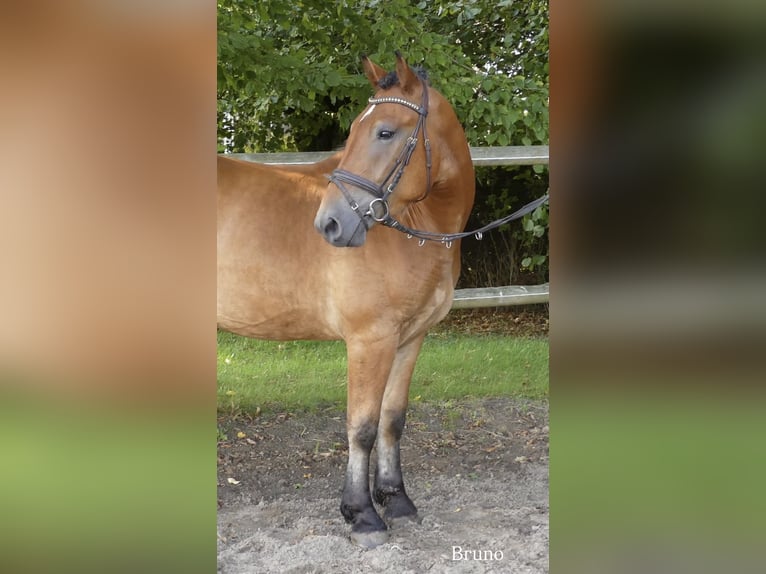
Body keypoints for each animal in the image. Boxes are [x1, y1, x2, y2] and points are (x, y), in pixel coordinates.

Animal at [217, 53, 475, 548]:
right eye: (356, 129)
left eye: (385, 132)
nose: (330, 224)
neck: (416, 228)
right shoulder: (369, 340)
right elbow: (362, 427)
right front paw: (362, 515)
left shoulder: (410, 339)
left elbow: (393, 420)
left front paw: (397, 501)